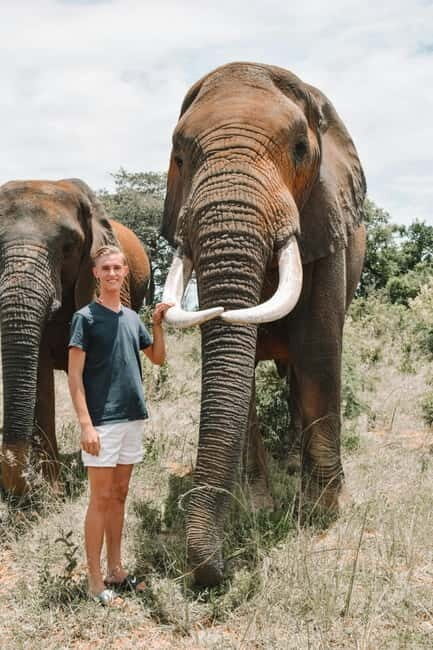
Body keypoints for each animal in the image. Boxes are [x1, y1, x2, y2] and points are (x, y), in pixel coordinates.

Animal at [161, 62, 366, 586]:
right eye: (179, 157)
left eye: (299, 149)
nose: (218, 571)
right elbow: (241, 368)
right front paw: (256, 508)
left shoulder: (325, 219)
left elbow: (318, 351)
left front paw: (321, 512)